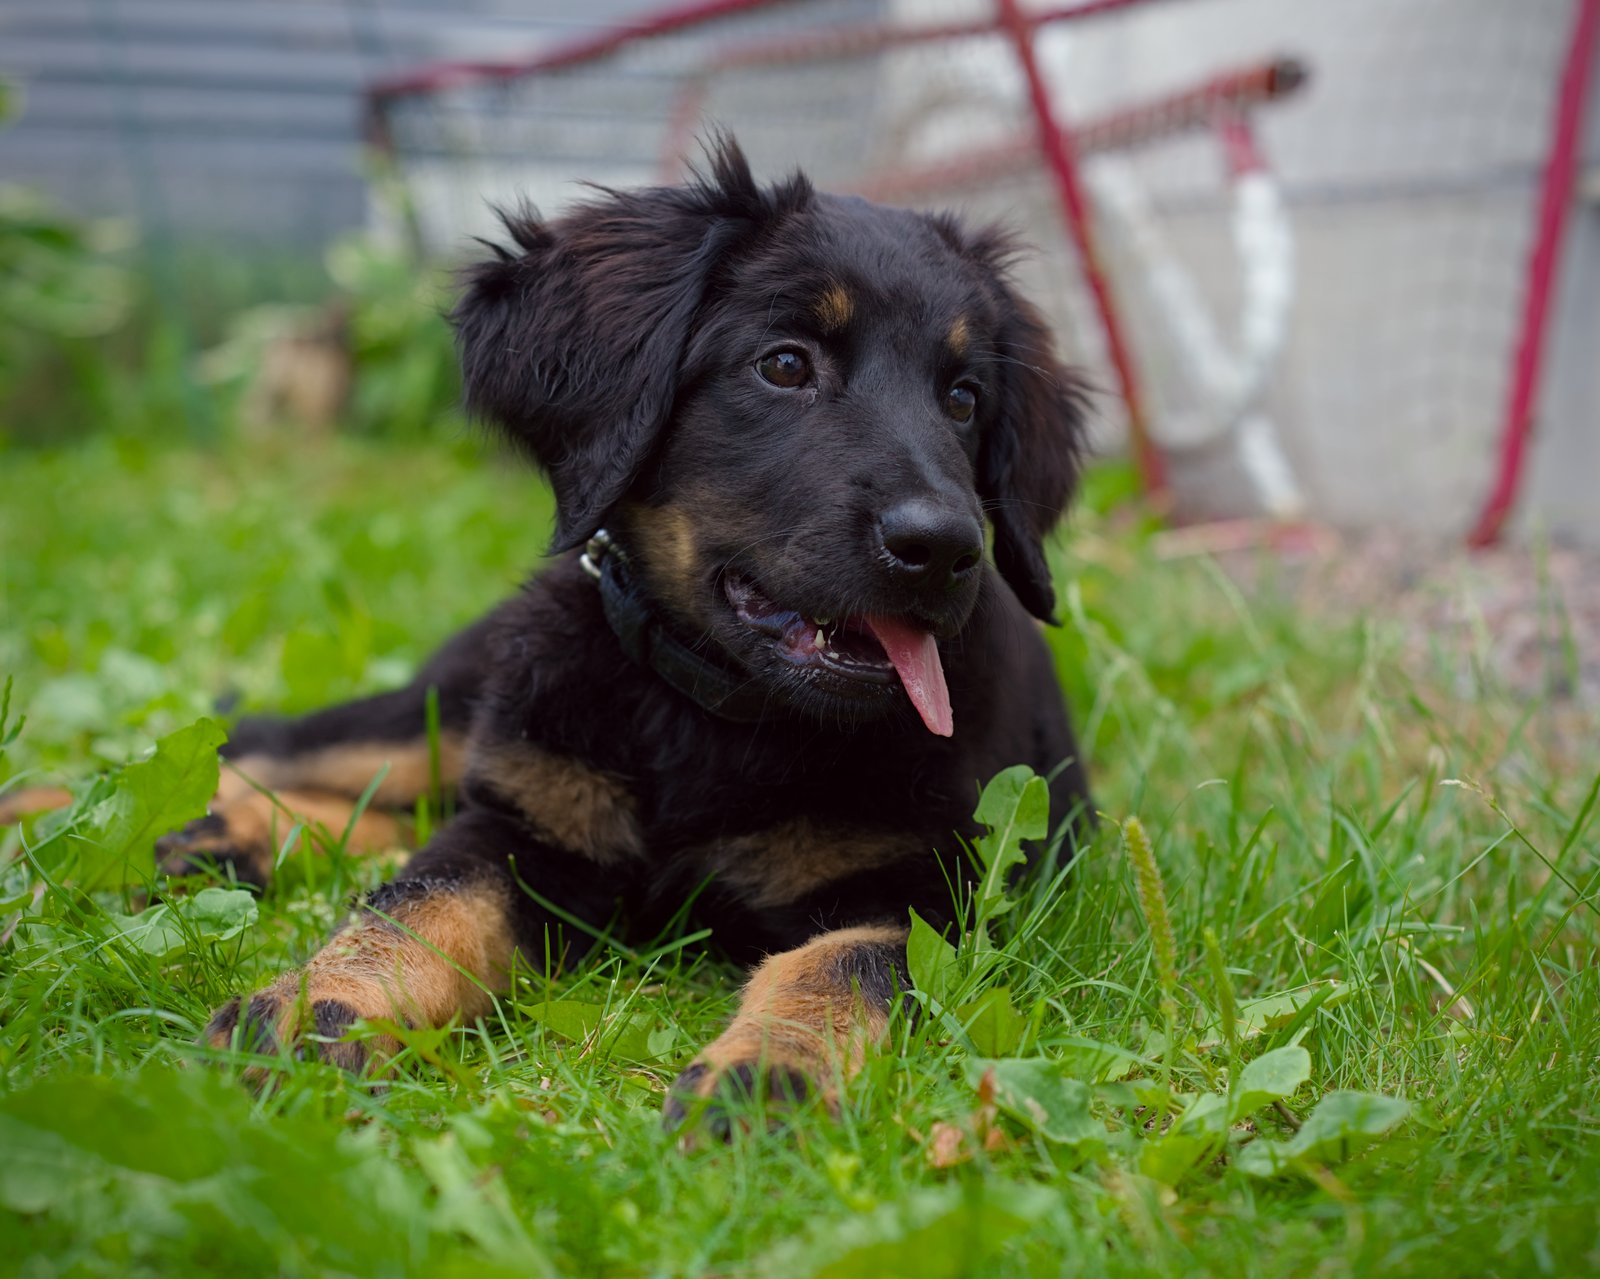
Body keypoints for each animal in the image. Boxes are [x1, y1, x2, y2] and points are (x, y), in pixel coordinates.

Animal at [178, 140, 1100, 1120]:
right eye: (785, 365)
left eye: (964, 398)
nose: (943, 548)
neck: (712, 714)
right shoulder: (526, 826)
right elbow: (417, 905)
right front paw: (320, 1004)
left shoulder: (921, 886)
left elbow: (838, 968)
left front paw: (766, 1076)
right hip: (452, 702)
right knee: (285, 745)